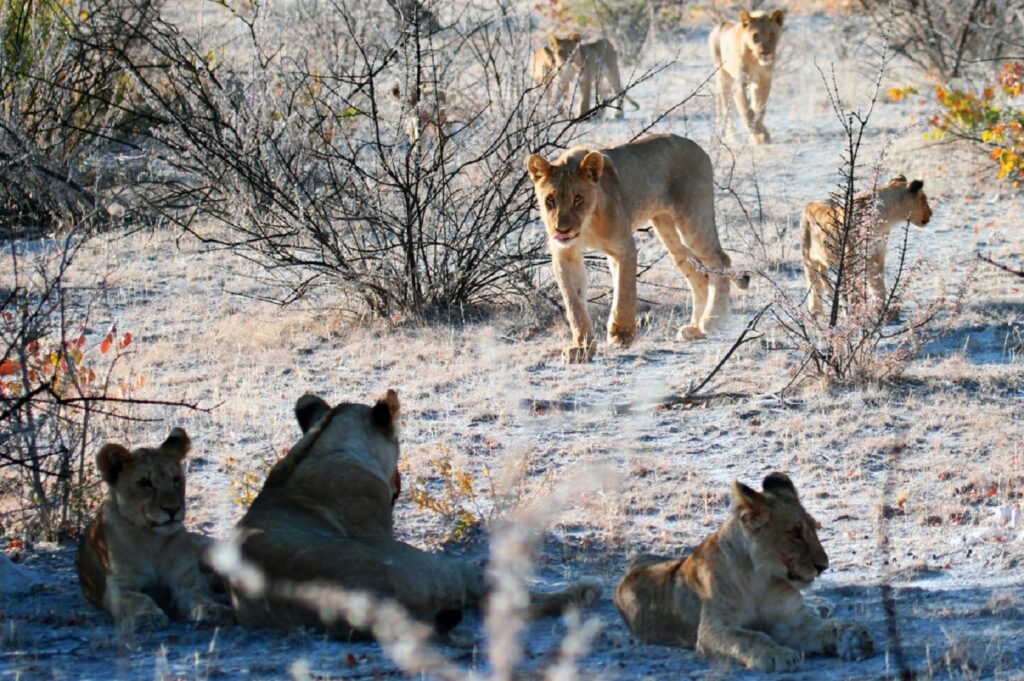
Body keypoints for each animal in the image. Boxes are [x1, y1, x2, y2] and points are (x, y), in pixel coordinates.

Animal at [76, 428, 233, 633]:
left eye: (176, 479)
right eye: (145, 483)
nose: (172, 509)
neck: (152, 539)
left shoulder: (186, 577)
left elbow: (199, 592)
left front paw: (213, 609)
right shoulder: (118, 586)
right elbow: (137, 599)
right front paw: (147, 617)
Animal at [525, 134, 749, 363]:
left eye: (578, 198)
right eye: (550, 200)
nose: (562, 229)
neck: (587, 224)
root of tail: (696, 146)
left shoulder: (624, 247)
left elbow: (624, 293)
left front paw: (621, 335)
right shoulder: (565, 254)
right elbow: (574, 305)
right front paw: (583, 348)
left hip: (693, 222)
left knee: (720, 260)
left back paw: (712, 319)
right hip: (667, 232)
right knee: (699, 276)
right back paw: (695, 329)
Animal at [613, 473, 874, 672]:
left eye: (814, 527)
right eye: (795, 533)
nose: (824, 566)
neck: (762, 579)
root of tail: (636, 562)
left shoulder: (792, 622)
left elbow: (826, 627)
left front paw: (853, 638)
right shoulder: (712, 630)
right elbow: (749, 637)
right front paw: (777, 655)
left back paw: (820, 605)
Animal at [709, 10, 784, 145]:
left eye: (772, 35)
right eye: (755, 36)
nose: (765, 53)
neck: (755, 60)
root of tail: (721, 24)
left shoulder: (763, 81)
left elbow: (759, 109)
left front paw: (760, 135)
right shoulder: (740, 81)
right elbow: (746, 111)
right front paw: (759, 136)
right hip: (723, 76)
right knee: (727, 109)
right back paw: (733, 137)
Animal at [802, 175, 932, 318]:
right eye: (924, 199)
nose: (931, 214)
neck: (884, 220)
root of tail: (810, 203)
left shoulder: (876, 256)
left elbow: (878, 286)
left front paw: (881, 311)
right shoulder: (850, 261)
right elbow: (854, 291)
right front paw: (854, 313)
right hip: (808, 258)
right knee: (813, 283)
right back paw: (815, 311)